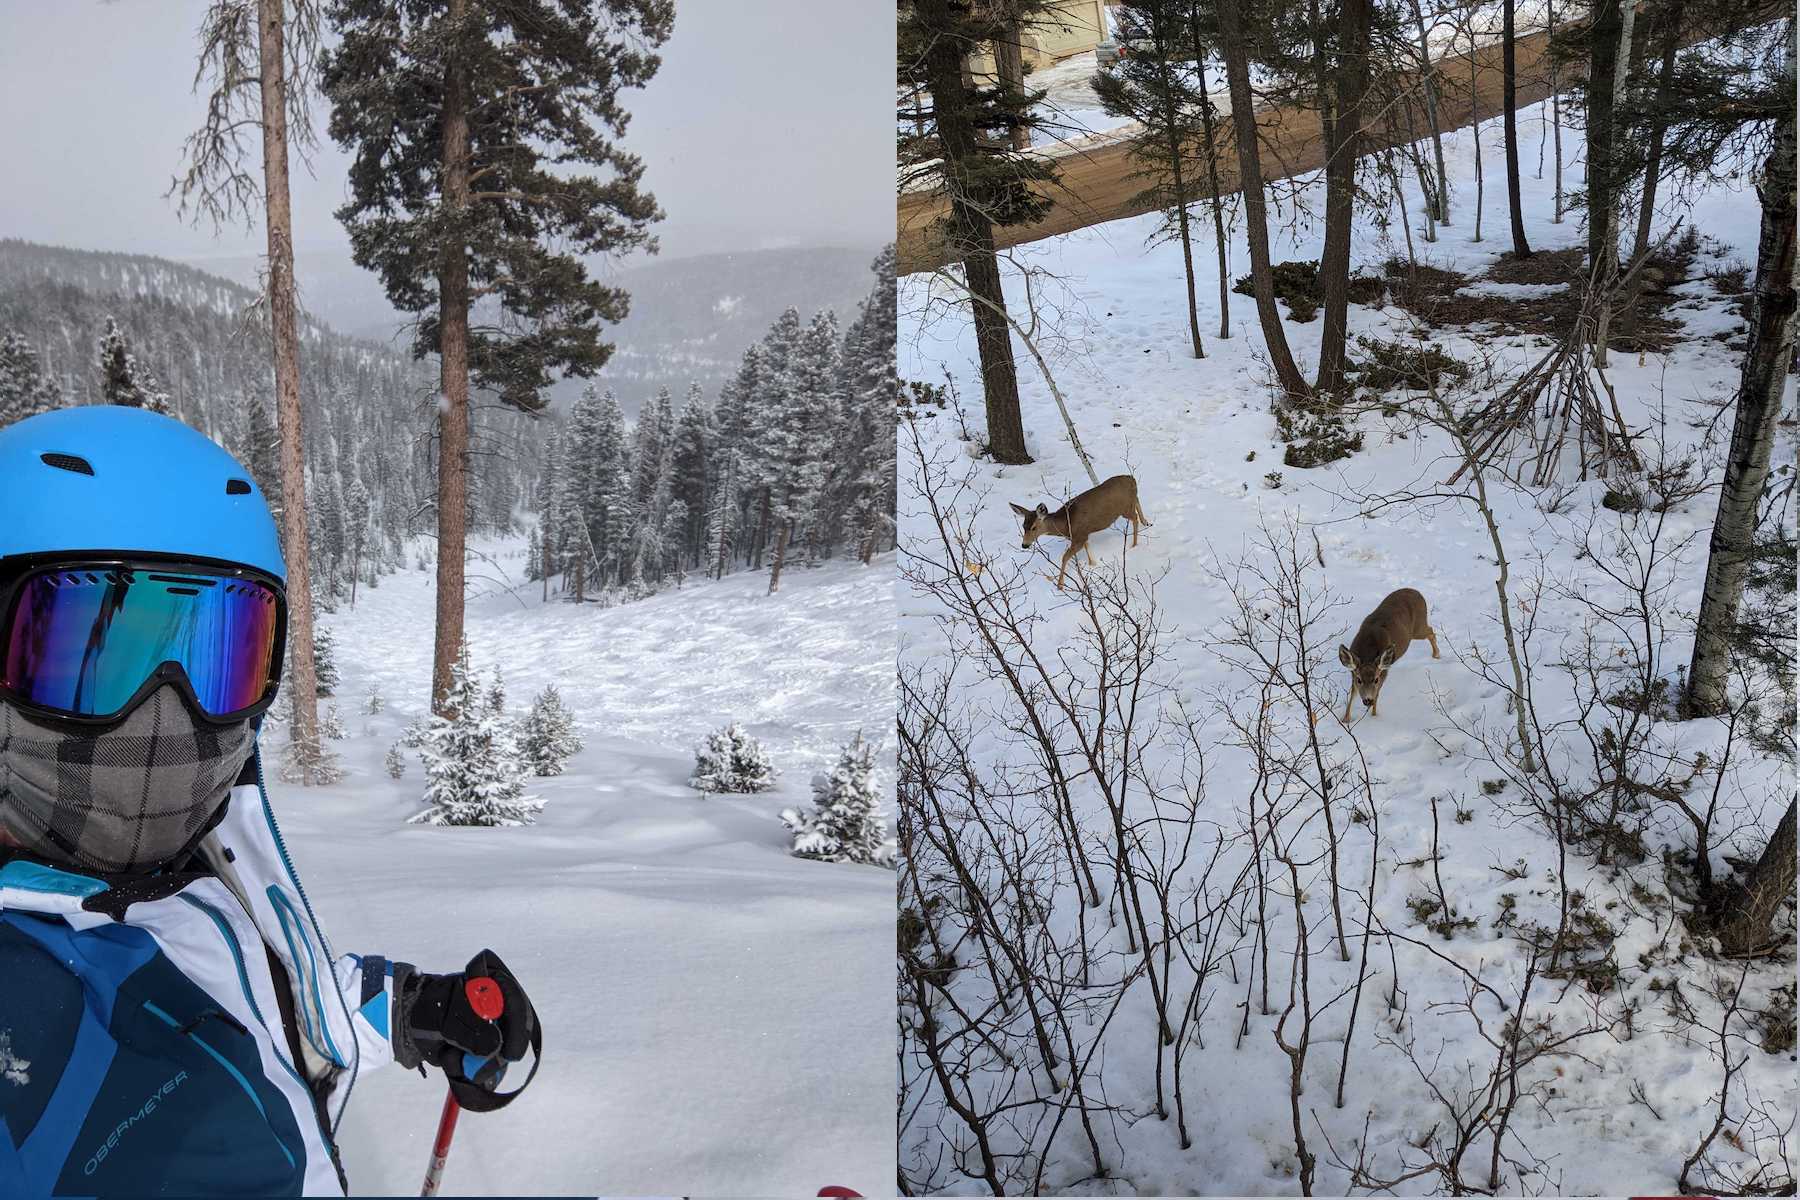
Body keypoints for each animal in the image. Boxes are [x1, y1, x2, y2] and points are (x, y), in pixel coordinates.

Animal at [1008, 474, 1150, 590]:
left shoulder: (1079, 536)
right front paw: (1092, 564)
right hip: (1129, 503)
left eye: (1034, 527)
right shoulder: (1082, 534)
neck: (1065, 524)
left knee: (1134, 517)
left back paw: (1134, 544)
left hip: (1124, 508)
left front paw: (1060, 585)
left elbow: (1065, 557)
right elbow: (1087, 547)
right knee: (1137, 502)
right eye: (1023, 526)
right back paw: (1147, 522)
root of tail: (1131, 478)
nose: (1024, 545)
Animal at [1339, 587, 1439, 721]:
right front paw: (1345, 719)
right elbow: (1352, 694)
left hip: (1418, 627)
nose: (1367, 700)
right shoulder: (1353, 672)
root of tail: (1416, 591)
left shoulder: (1384, 672)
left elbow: (1377, 695)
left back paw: (1436, 654)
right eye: (1359, 680)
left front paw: (1374, 716)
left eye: (1376, 679)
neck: (1368, 650)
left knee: (1431, 631)